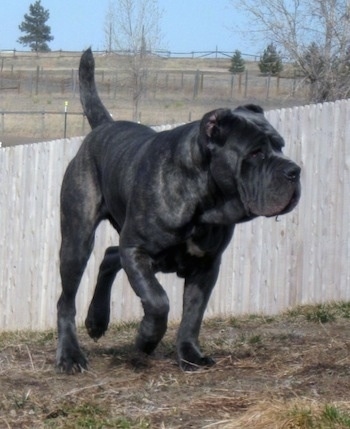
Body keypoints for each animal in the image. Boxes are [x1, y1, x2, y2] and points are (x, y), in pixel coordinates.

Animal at [56, 48, 300, 372]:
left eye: (280, 146)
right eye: (257, 153)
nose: (294, 171)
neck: (204, 203)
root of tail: (104, 127)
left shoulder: (206, 265)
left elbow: (192, 315)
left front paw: (190, 354)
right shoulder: (136, 250)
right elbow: (158, 301)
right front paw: (146, 339)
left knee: (109, 256)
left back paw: (97, 320)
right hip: (77, 239)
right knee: (66, 299)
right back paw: (70, 355)